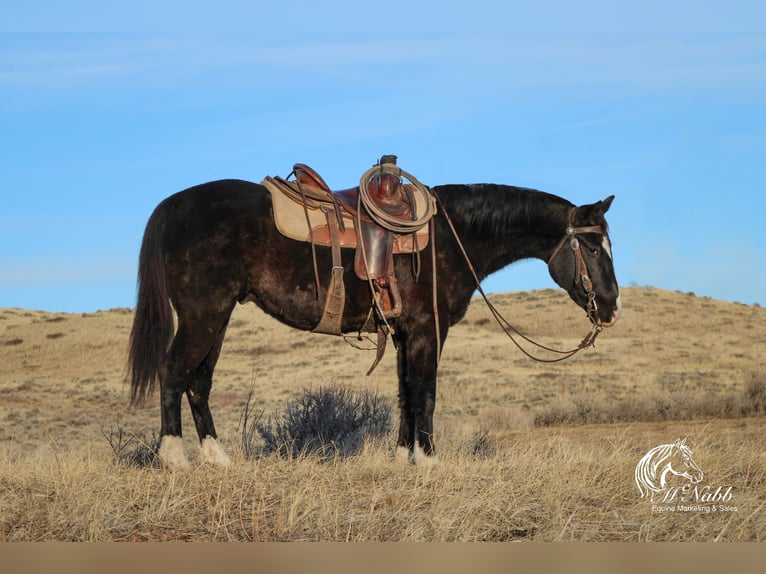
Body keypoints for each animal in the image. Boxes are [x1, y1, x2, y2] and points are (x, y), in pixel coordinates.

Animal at [129, 179, 624, 468]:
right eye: (593, 248)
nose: (611, 305)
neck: (452, 235)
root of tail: (171, 205)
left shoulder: (405, 335)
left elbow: (405, 395)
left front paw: (403, 458)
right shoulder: (428, 331)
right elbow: (425, 393)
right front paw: (429, 462)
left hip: (218, 316)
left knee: (198, 382)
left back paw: (218, 460)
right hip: (203, 313)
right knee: (173, 374)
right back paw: (174, 458)